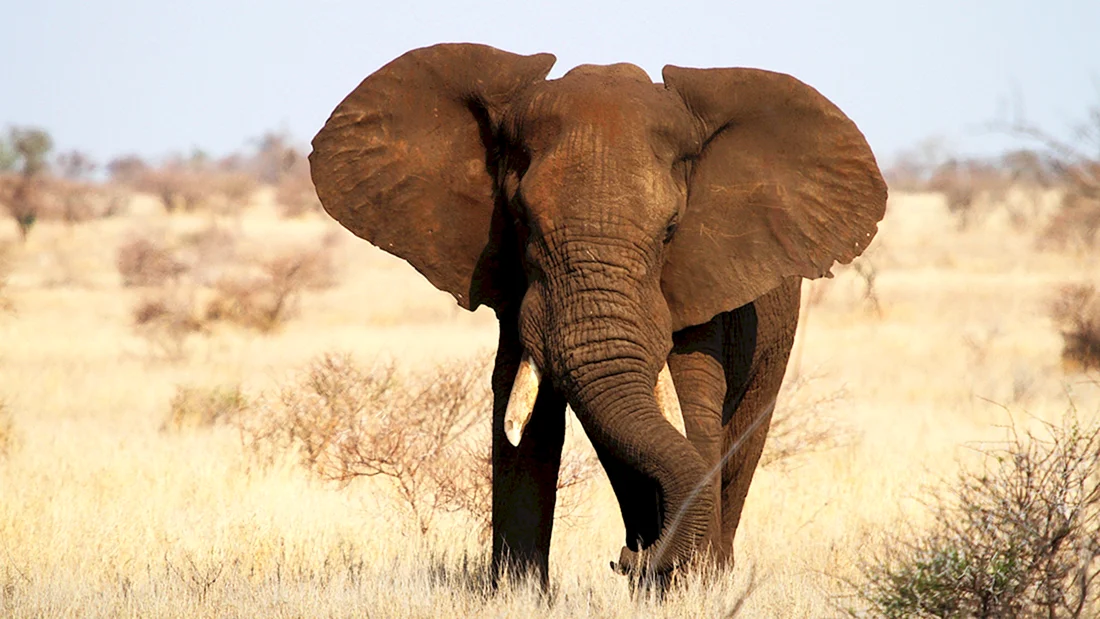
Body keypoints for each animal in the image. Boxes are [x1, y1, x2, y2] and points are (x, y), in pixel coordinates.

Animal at [309, 43, 887, 587]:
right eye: (520, 219)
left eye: (671, 229)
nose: (626, 558)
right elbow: (522, 412)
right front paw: (521, 595)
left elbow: (692, 409)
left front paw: (685, 590)